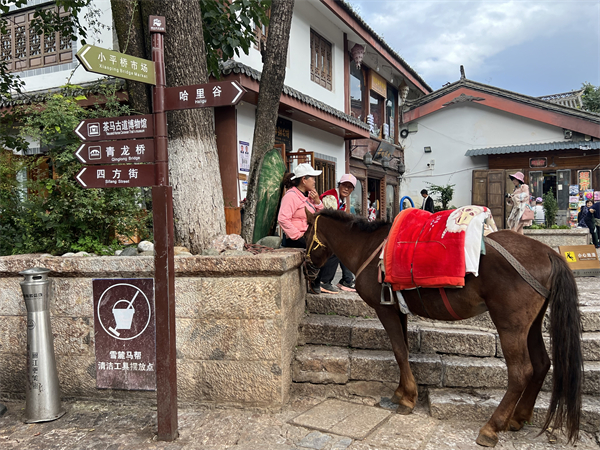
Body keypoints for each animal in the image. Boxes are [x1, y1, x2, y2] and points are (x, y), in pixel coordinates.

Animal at [304, 208, 580, 446]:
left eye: (305, 235)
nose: (307, 269)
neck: (367, 248)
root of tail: (549, 253)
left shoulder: (385, 309)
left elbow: (399, 351)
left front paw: (407, 399)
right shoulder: (398, 310)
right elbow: (404, 350)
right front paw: (402, 392)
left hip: (510, 325)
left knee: (521, 372)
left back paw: (492, 427)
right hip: (531, 324)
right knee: (542, 363)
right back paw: (518, 417)